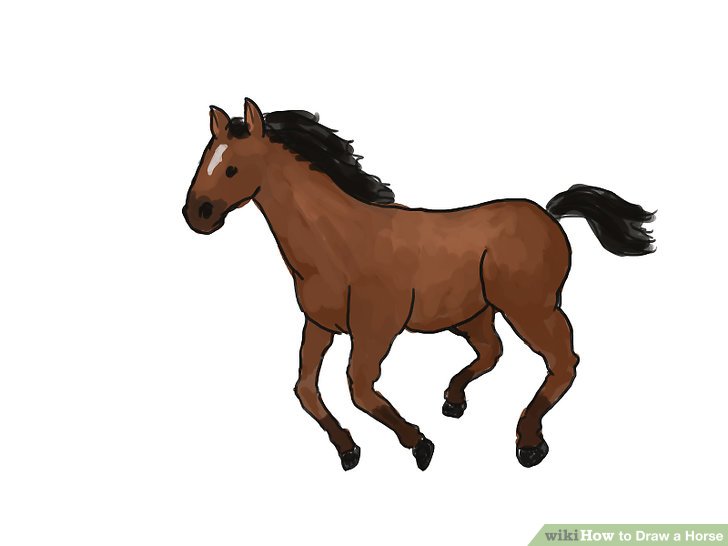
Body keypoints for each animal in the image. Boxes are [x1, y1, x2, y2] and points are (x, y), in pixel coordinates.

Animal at [182, 98, 655, 471]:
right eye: (204, 157)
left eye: (231, 168)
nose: (196, 215)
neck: (337, 240)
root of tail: (550, 213)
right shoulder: (320, 325)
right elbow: (305, 389)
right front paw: (349, 451)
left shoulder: (376, 327)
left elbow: (360, 387)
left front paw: (420, 446)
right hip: (475, 315)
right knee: (493, 352)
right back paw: (453, 401)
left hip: (531, 308)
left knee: (563, 360)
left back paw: (529, 443)